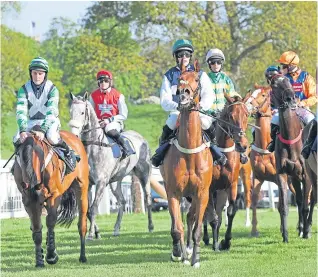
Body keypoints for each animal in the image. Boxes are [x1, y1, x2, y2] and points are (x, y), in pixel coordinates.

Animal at [11, 129, 89, 266]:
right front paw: (39, 260)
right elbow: (37, 228)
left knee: (82, 224)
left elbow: (51, 222)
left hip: (82, 188)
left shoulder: (53, 196)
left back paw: (82, 256)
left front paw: (51, 255)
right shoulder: (28, 200)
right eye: (27, 205)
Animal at [69, 91, 155, 238]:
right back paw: (116, 229)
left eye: (82, 112)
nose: (74, 134)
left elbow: (93, 208)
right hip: (115, 182)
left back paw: (150, 226)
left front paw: (91, 234)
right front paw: (96, 232)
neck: (93, 147)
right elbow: (87, 210)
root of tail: (141, 138)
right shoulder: (89, 183)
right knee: (122, 202)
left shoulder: (101, 182)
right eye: (71, 112)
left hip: (144, 175)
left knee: (148, 199)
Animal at [161, 60, 214, 268]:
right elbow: (177, 227)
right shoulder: (173, 192)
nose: (183, 93)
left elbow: (197, 227)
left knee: (191, 217)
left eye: (197, 79)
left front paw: (195, 259)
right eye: (180, 79)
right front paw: (180, 254)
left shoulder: (202, 193)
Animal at [199, 92, 251, 250]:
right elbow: (212, 216)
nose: (242, 145)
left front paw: (226, 241)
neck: (222, 154)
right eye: (230, 115)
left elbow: (230, 211)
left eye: (247, 114)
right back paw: (205, 238)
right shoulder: (209, 188)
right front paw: (216, 243)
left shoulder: (231, 184)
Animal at [268, 74, 314, 240]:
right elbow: (285, 206)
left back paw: (306, 228)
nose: (290, 98)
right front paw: (286, 235)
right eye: (274, 84)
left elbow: (307, 205)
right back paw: (300, 227)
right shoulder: (283, 173)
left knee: (311, 200)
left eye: (288, 82)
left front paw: (306, 232)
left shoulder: (306, 175)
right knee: (299, 200)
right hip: (294, 177)